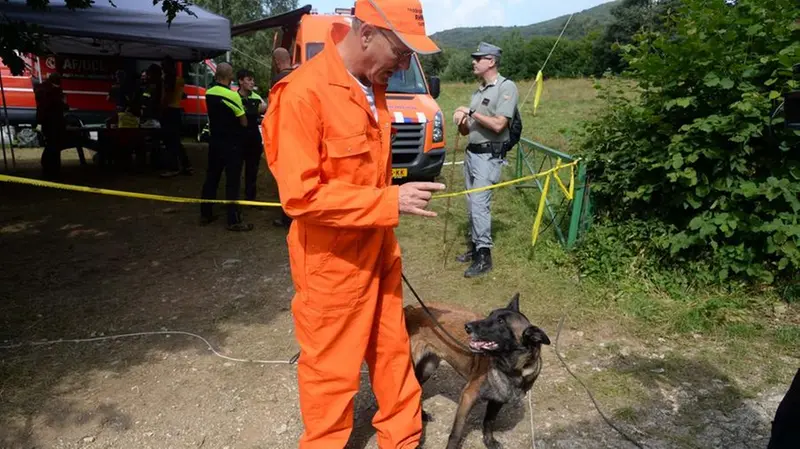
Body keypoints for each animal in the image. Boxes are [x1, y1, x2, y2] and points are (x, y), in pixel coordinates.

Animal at [406, 292, 552, 446]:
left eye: (501, 322)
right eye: (490, 315)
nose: (467, 327)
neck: (511, 370)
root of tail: (409, 308)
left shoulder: (497, 400)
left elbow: (489, 422)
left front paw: (489, 442)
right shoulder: (468, 396)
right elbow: (456, 433)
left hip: (428, 368)